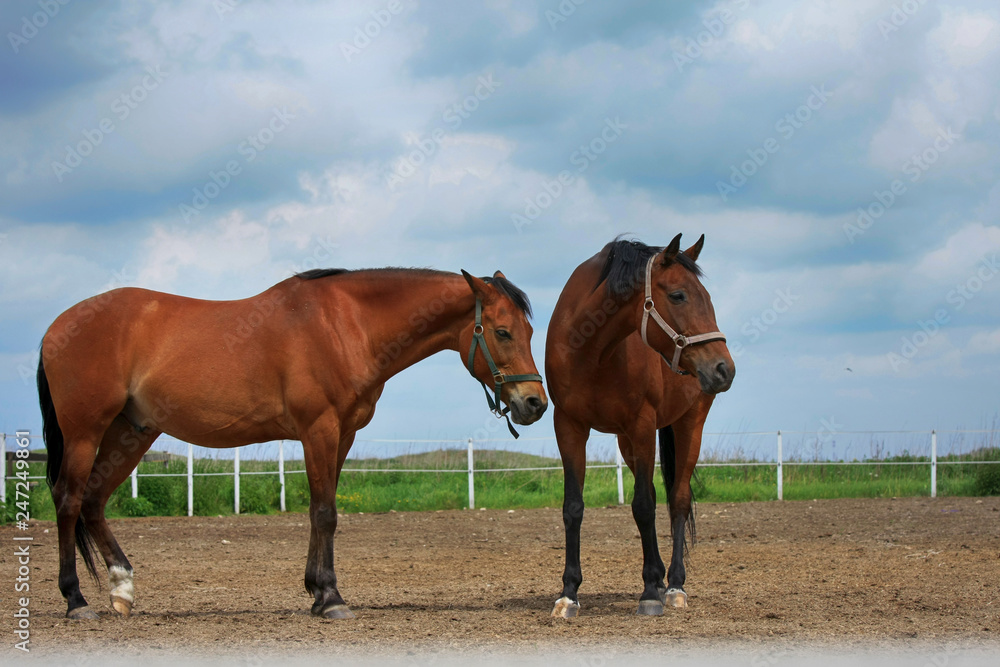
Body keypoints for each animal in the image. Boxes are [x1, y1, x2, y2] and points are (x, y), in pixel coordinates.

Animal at [37, 266, 548, 620]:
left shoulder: (342, 434)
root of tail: (58, 325)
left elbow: (322, 511)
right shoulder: (318, 429)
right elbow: (324, 512)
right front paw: (332, 599)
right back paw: (76, 601)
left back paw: (122, 589)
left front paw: (317, 592)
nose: (535, 403)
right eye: (502, 331)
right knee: (68, 500)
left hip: (132, 432)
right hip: (85, 433)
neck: (347, 325)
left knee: (94, 501)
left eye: (528, 330)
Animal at [548, 237, 736, 620]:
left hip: (689, 423)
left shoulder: (643, 424)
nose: (725, 368)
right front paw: (569, 593)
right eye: (678, 295)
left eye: (707, 297)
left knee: (678, 500)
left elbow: (644, 506)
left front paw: (650, 591)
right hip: (627, 441)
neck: (591, 351)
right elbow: (573, 507)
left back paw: (673, 585)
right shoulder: (569, 426)